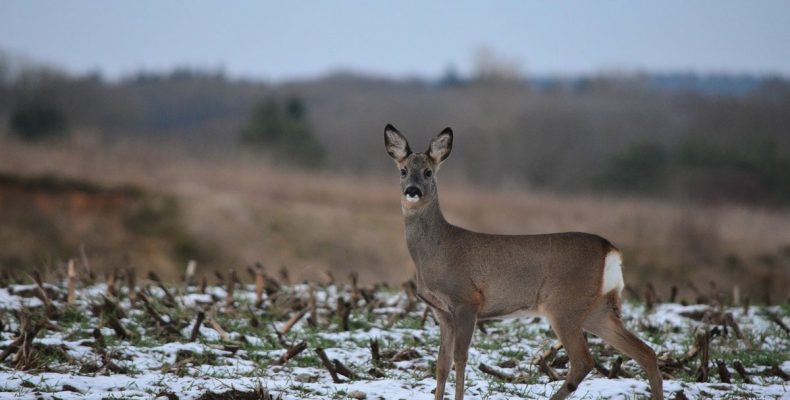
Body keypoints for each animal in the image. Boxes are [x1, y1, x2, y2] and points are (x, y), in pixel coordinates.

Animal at [384, 125, 664, 400]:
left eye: (428, 172)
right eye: (403, 170)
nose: (412, 190)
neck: (436, 250)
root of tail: (611, 250)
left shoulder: (467, 300)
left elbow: (459, 358)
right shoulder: (441, 311)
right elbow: (441, 363)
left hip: (564, 305)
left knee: (584, 361)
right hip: (598, 309)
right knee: (646, 352)